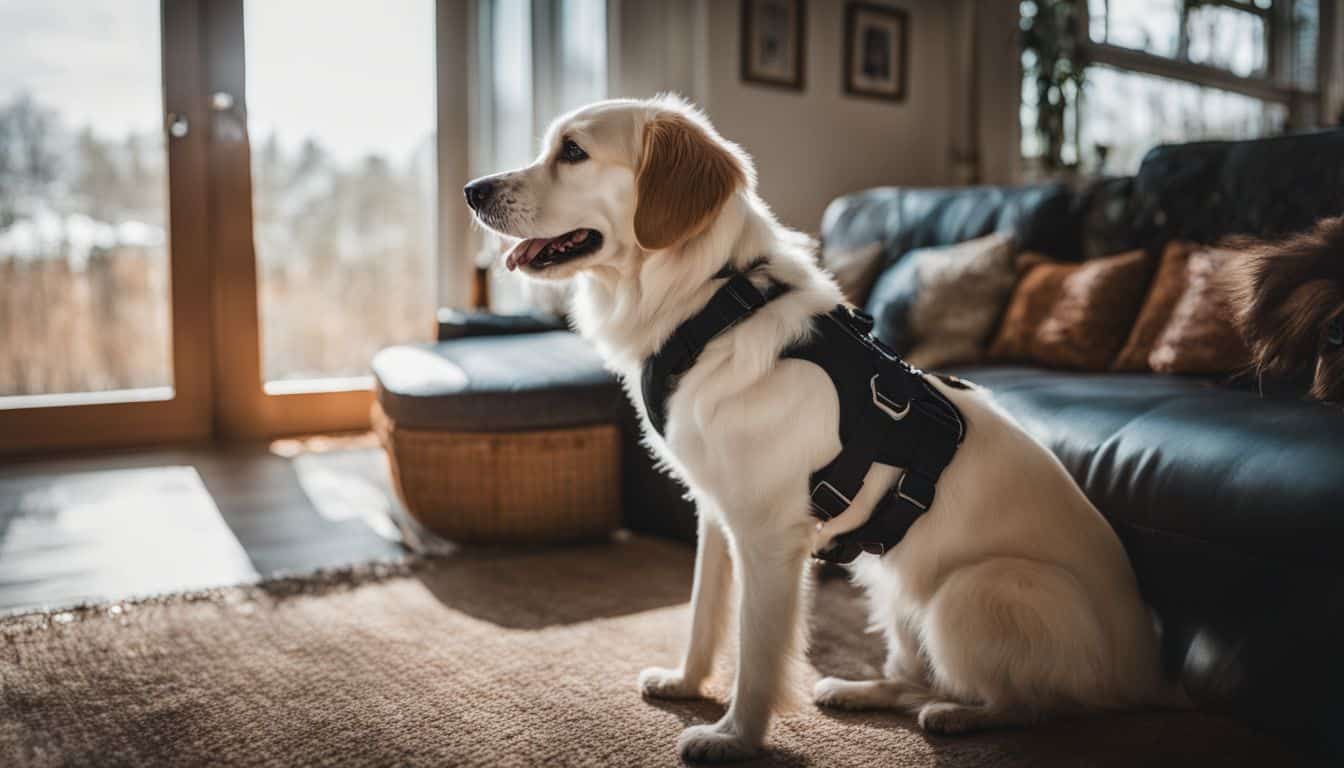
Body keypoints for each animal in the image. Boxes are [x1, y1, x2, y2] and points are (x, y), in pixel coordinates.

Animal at [462, 96, 1177, 763]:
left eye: (573, 152)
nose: (472, 190)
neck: (713, 309)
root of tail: (1149, 675)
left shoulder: (769, 536)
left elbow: (756, 650)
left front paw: (735, 737)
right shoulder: (716, 514)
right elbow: (701, 614)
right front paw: (687, 681)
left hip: (974, 590)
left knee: (1035, 705)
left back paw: (961, 715)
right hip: (889, 578)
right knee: (916, 675)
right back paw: (864, 692)